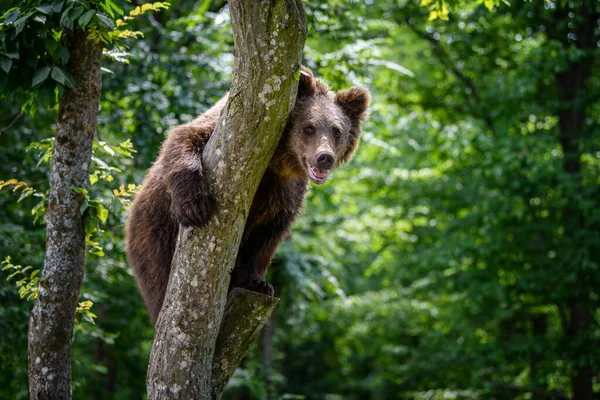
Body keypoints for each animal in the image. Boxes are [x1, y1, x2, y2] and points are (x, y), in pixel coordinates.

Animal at [126, 69, 370, 324]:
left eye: (337, 130)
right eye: (309, 127)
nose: (325, 157)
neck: (277, 161)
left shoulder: (285, 192)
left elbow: (266, 236)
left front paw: (258, 283)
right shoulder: (223, 131)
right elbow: (184, 137)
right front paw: (194, 207)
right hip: (153, 231)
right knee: (157, 277)